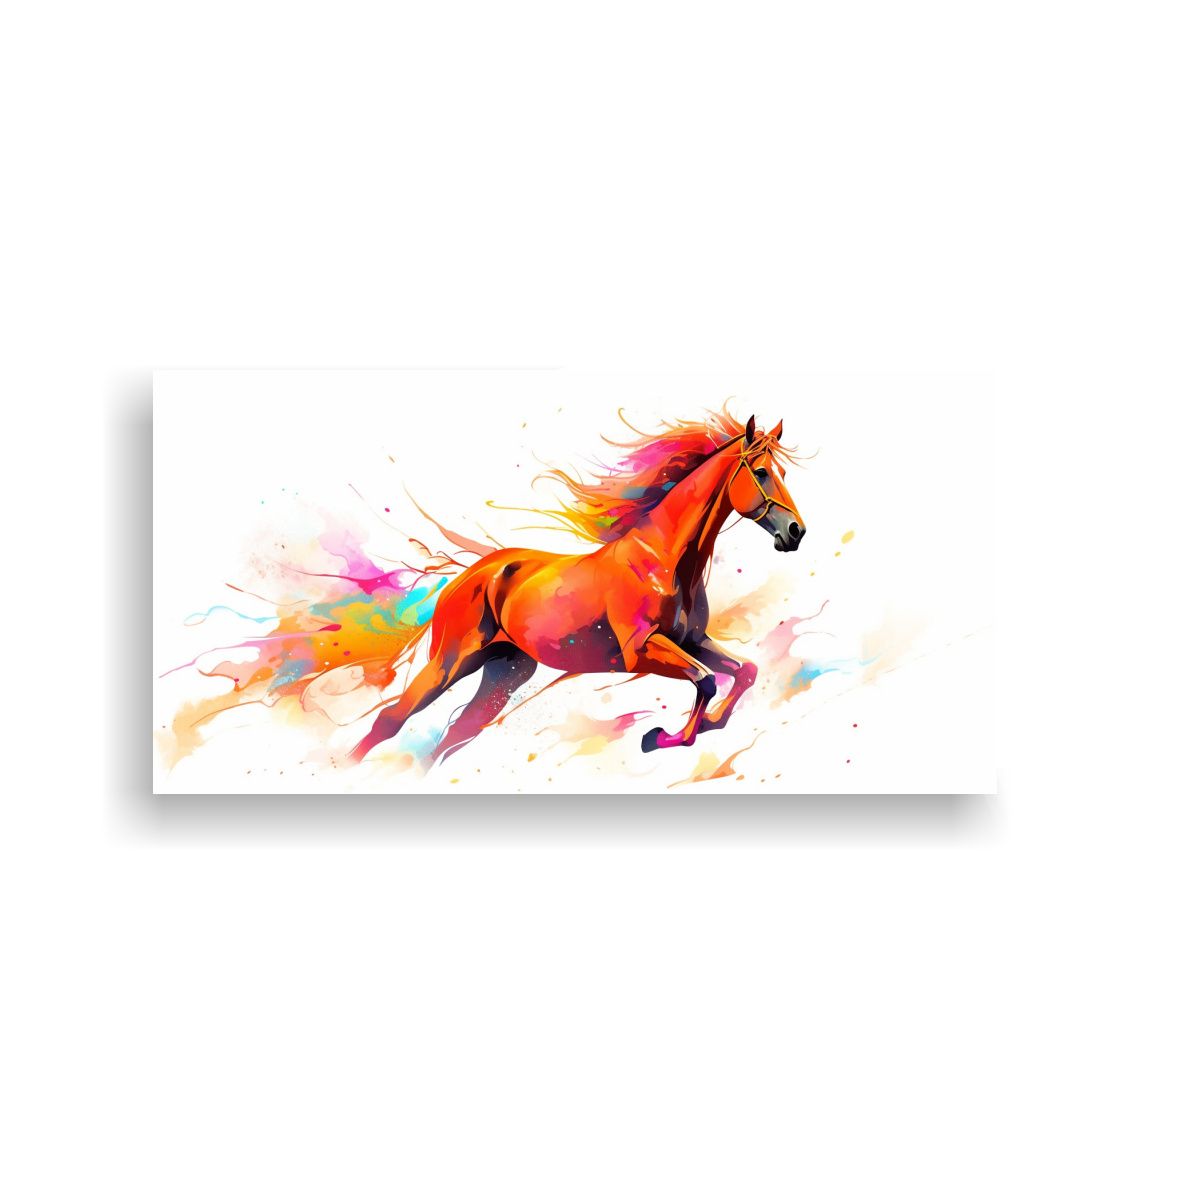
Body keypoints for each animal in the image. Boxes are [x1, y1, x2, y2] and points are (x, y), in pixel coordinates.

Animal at [349, 411, 805, 763]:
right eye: (761, 472)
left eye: (784, 473)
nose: (795, 532)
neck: (665, 560)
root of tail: (468, 576)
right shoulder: (641, 650)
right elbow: (707, 680)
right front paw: (658, 738)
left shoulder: (691, 640)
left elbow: (745, 671)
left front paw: (703, 725)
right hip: (451, 662)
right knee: (391, 720)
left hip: (504, 673)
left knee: (454, 736)